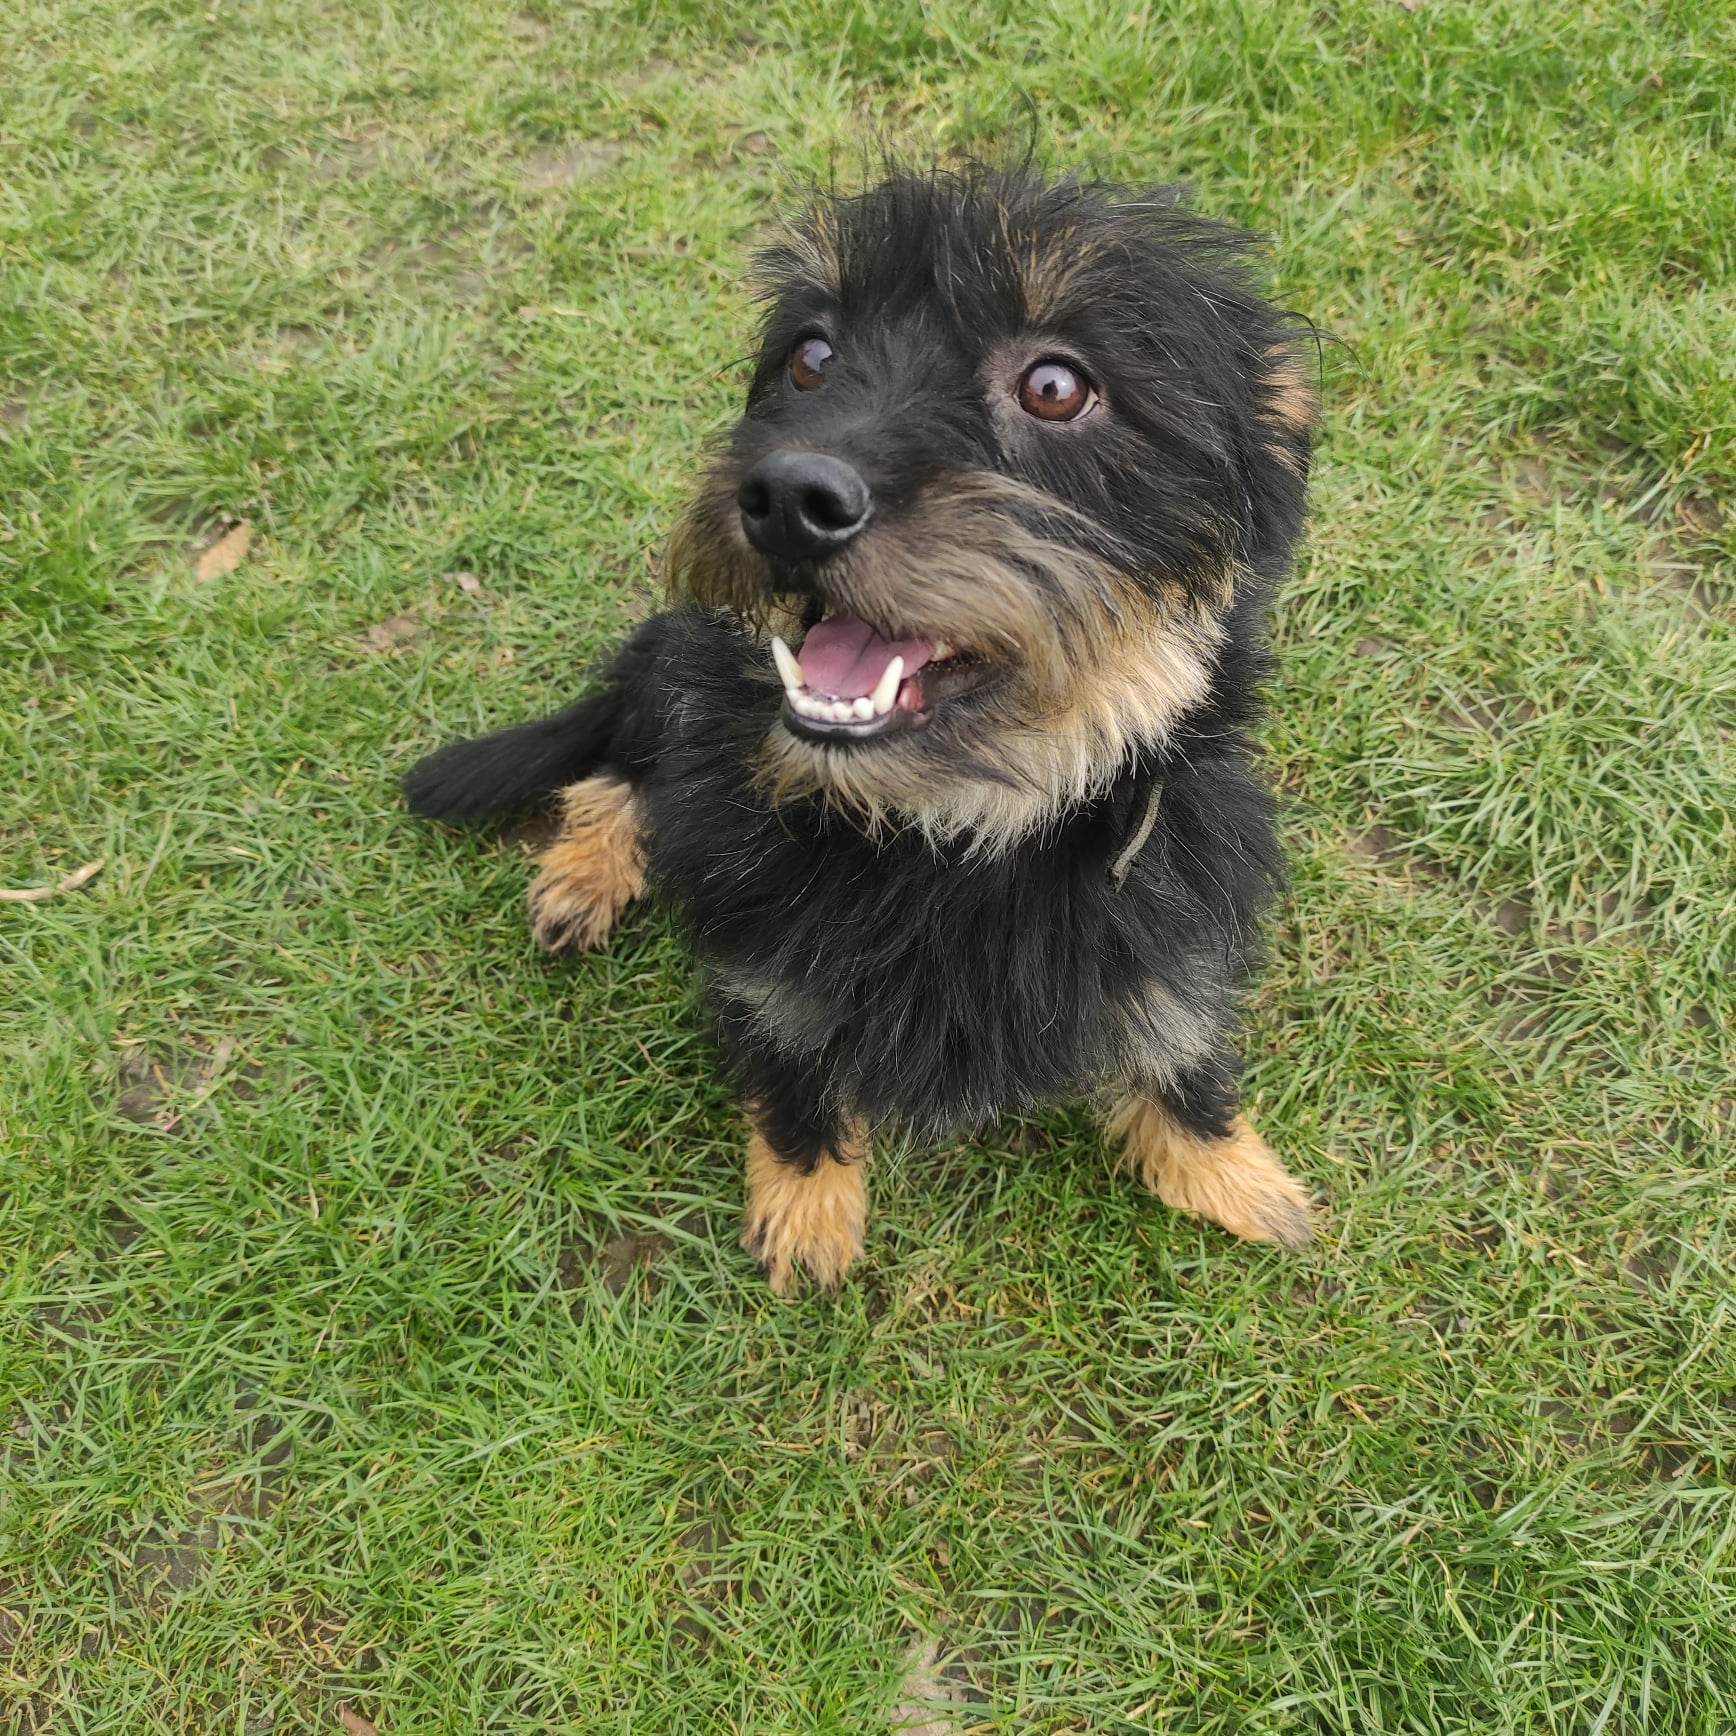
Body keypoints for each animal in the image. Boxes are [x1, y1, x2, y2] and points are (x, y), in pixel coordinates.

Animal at [404, 161, 1319, 1294]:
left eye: (1055, 387)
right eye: (810, 356)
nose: (786, 496)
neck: (952, 835)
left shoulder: (1166, 910)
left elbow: (1182, 1047)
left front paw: (1229, 1170)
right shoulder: (769, 965)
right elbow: (795, 1074)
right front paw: (807, 1207)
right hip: (680, 670)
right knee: (619, 767)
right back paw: (585, 871)